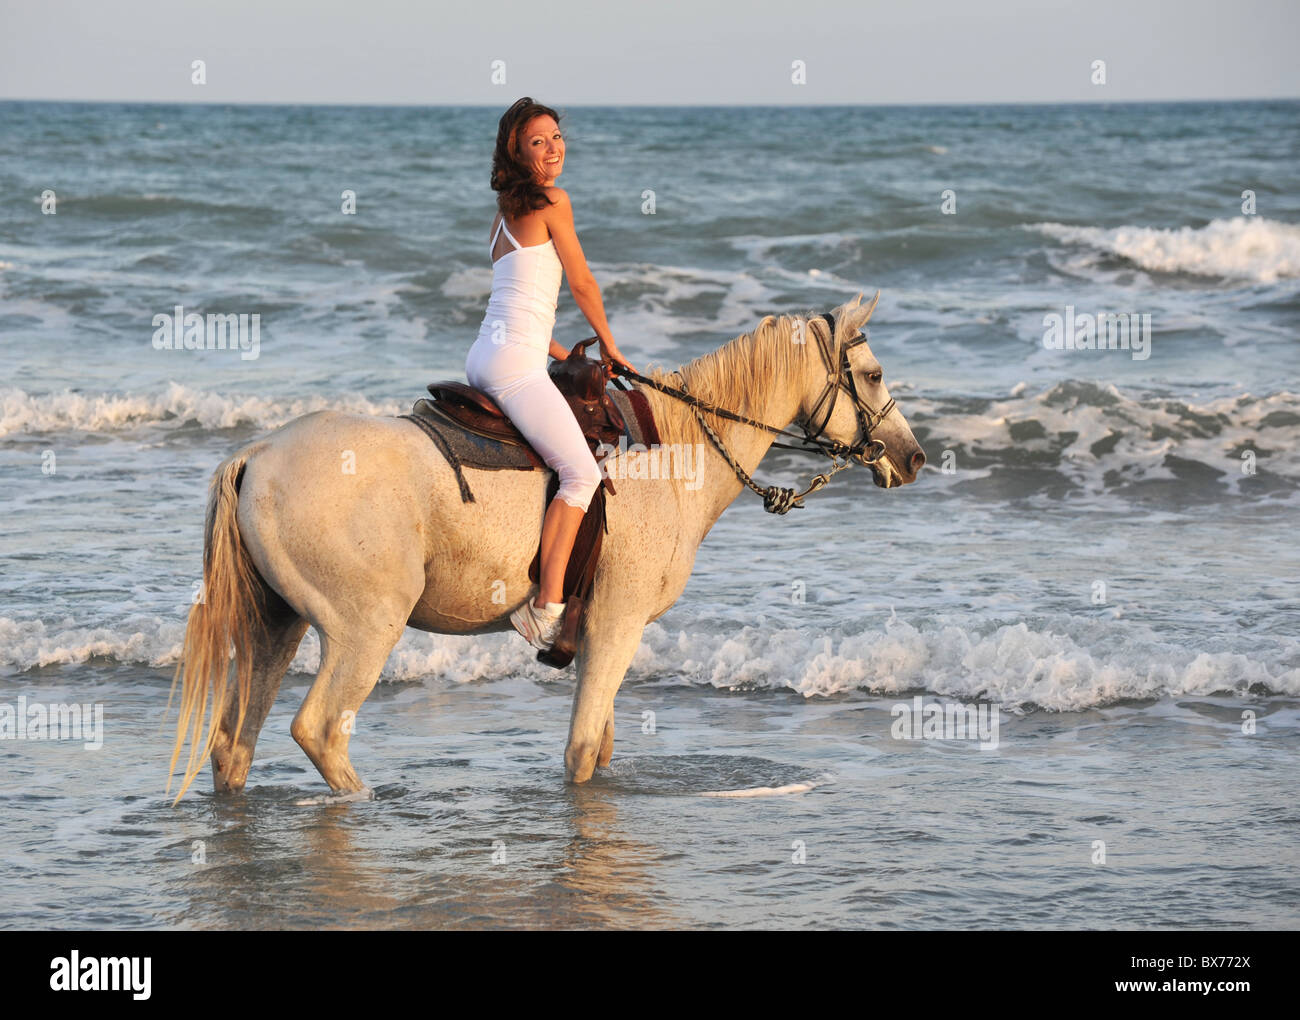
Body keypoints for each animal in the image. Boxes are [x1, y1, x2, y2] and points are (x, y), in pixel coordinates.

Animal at [167, 291, 926, 802]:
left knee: (234, 744)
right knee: (321, 730)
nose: (913, 457)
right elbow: (584, 750)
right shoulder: (617, 625)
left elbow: (600, 748)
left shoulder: (601, 632)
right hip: (365, 628)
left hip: (275, 625)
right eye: (874, 374)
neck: (670, 452)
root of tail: (259, 455)